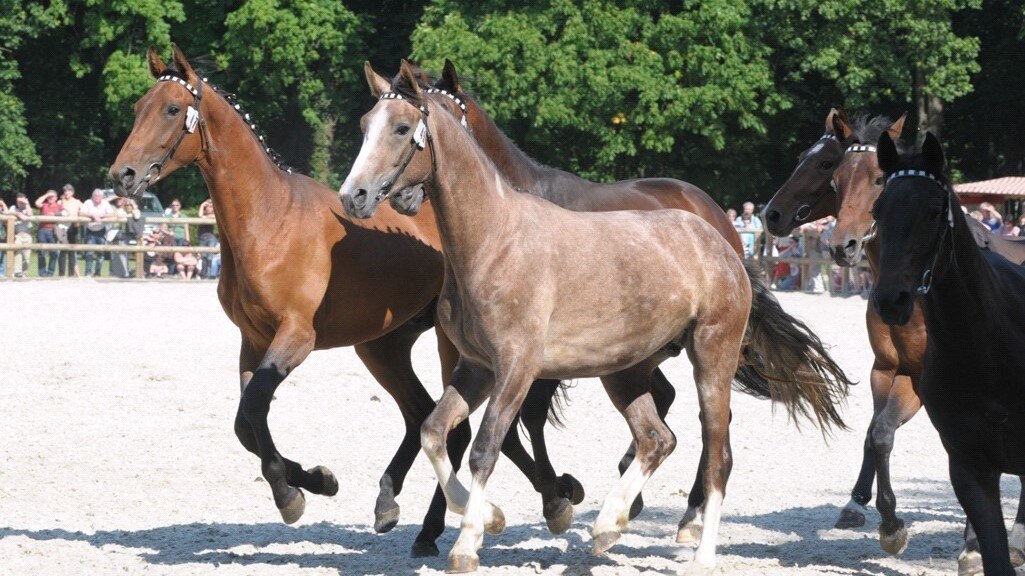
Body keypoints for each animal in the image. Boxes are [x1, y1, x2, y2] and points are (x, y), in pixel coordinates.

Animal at [109, 44, 586, 557]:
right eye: (138, 107)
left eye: (172, 109)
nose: (122, 175)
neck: (268, 220)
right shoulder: (252, 341)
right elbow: (245, 424)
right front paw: (316, 479)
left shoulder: (295, 337)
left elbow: (254, 410)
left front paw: (291, 495)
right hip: (381, 346)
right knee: (422, 414)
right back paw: (402, 505)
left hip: (447, 345)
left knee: (455, 428)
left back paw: (465, 517)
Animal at [340, 60, 852, 569]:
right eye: (365, 126)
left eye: (402, 128)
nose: (354, 196)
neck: (493, 240)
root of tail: (721, 242)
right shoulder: (477, 368)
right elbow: (435, 432)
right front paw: (492, 517)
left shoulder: (517, 368)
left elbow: (486, 447)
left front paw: (469, 543)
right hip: (625, 371)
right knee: (656, 437)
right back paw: (609, 524)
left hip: (712, 356)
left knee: (716, 453)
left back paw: (698, 551)